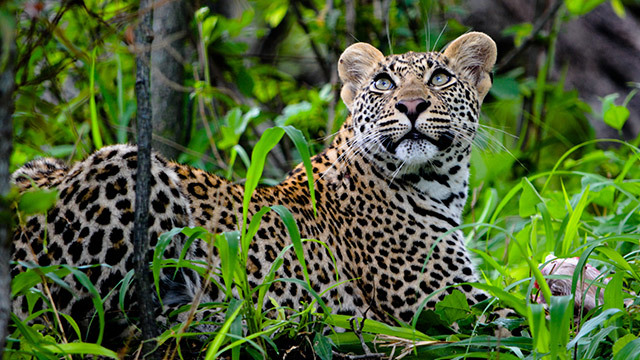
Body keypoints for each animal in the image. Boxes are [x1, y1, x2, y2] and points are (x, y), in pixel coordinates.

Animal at [11, 32, 500, 344]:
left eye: (439, 79)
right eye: (383, 83)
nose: (411, 104)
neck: (440, 182)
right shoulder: (443, 301)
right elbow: (511, 318)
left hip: (31, 170)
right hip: (126, 164)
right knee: (100, 315)